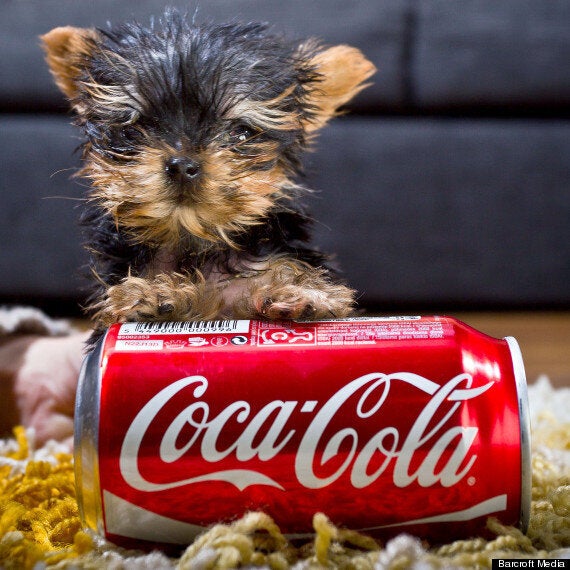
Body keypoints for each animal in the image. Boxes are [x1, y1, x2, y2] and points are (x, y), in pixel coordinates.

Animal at [42, 11, 374, 336]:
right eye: (133, 130)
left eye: (242, 133)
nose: (182, 165)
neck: (195, 246)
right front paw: (156, 293)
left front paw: (300, 292)